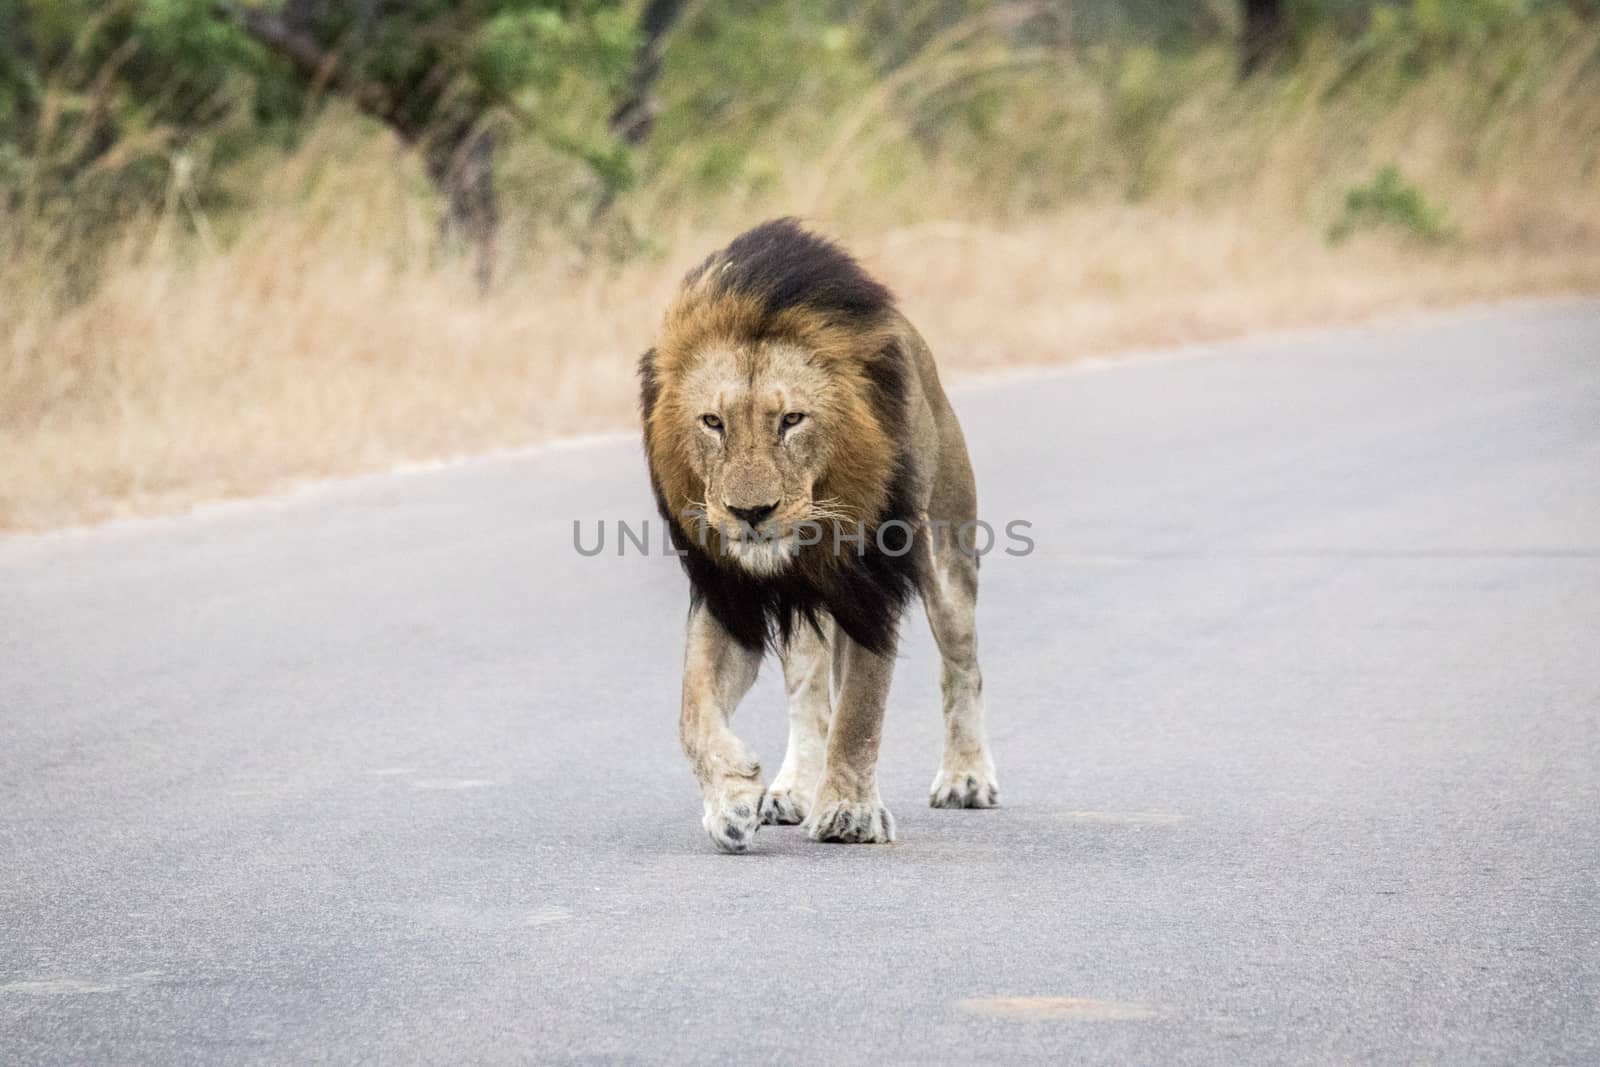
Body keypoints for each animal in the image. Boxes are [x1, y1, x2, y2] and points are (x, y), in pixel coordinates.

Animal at [640, 220, 998, 857]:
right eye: (713, 422)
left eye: (792, 420)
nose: (750, 512)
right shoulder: (730, 596)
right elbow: (692, 712)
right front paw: (732, 801)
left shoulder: (871, 589)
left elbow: (860, 710)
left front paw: (848, 813)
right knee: (808, 697)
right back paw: (791, 790)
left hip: (947, 562)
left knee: (962, 665)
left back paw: (966, 778)